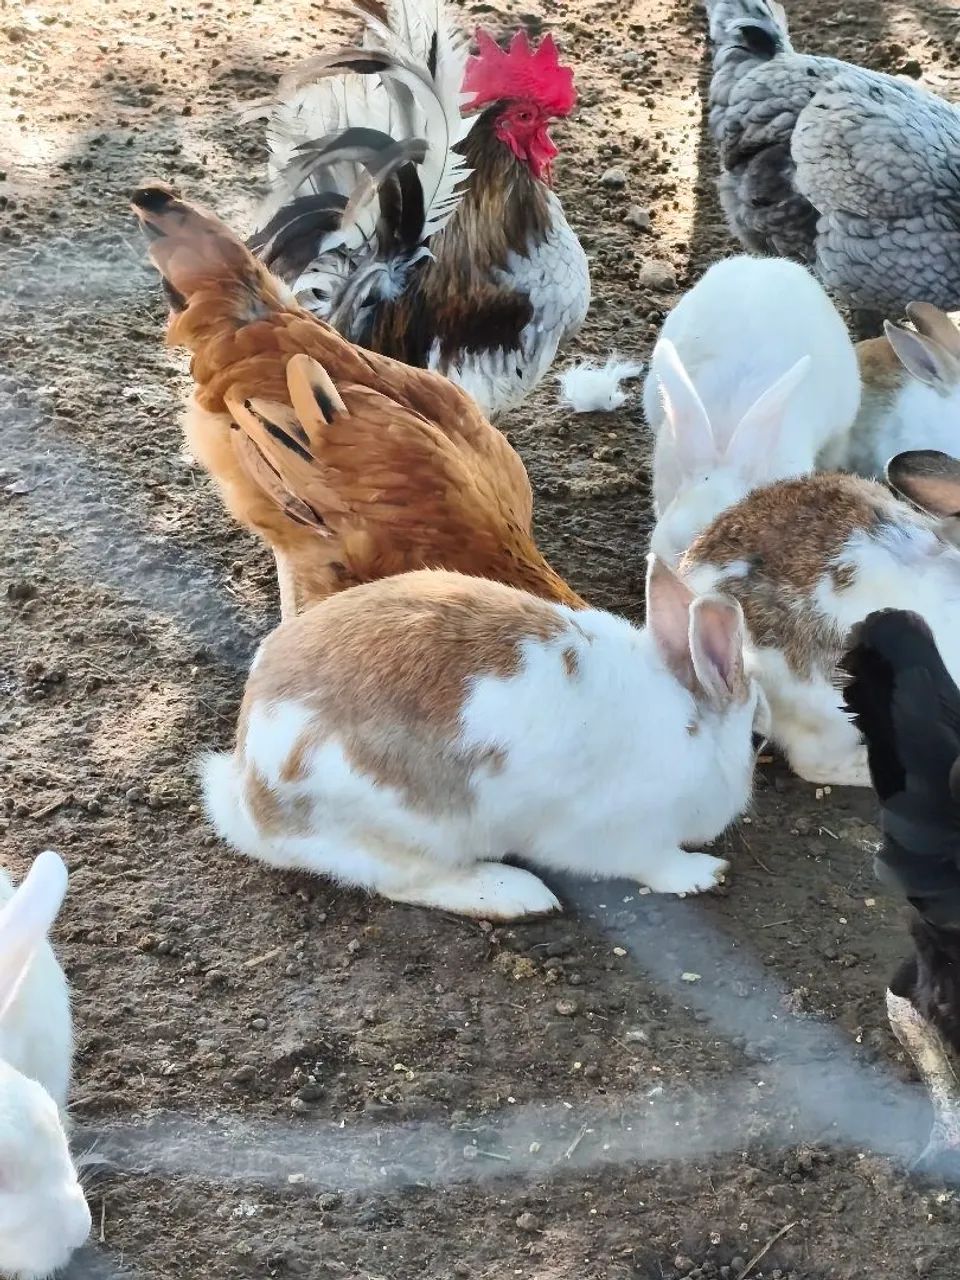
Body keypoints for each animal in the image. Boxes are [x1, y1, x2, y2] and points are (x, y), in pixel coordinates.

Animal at [201, 560, 770, 920]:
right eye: (757, 737)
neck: (688, 730)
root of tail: (248, 796)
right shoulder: (625, 834)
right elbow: (655, 864)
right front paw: (704, 873)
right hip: (409, 827)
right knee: (406, 881)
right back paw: (518, 896)